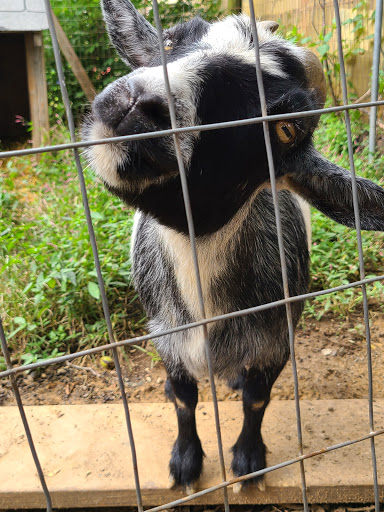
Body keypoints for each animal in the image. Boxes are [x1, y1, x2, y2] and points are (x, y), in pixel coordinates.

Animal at [84, 0, 384, 496]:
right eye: (170, 41)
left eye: (286, 129)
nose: (138, 104)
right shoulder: (166, 336)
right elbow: (184, 399)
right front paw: (185, 462)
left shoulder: (276, 338)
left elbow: (258, 400)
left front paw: (247, 459)